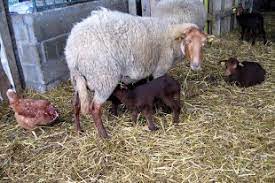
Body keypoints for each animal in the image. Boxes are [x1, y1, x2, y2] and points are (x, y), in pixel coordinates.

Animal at [65, 8, 207, 137]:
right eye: (188, 41)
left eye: (203, 44)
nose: (196, 65)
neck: (171, 38)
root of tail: (73, 50)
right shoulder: (160, 69)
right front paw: (163, 110)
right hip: (103, 77)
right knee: (95, 108)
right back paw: (104, 135)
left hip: (78, 80)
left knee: (76, 105)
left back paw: (79, 130)